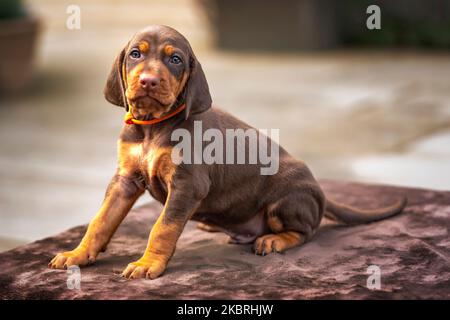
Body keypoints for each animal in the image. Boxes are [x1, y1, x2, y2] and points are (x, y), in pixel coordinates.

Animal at [47, 25, 406, 280]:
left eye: (175, 59)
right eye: (136, 54)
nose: (148, 81)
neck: (153, 125)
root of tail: (319, 191)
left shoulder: (187, 185)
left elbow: (162, 227)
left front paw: (148, 263)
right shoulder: (124, 180)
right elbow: (100, 221)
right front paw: (77, 254)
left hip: (286, 199)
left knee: (307, 231)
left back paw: (275, 240)